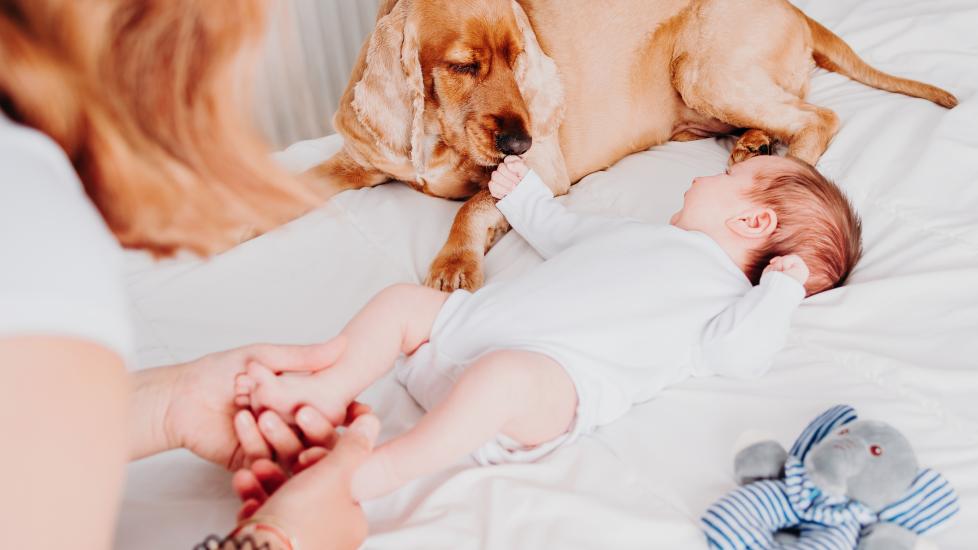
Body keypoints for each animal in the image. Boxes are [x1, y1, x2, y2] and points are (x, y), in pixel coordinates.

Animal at [304, 0, 952, 294]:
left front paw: (454, 263)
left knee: (820, 115)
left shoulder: (543, 170)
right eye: (464, 66)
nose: (519, 139)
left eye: (519, 59)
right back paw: (752, 146)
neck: (439, 135)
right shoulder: (358, 158)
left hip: (704, 69)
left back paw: (785, 168)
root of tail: (796, 9)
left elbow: (473, 206)